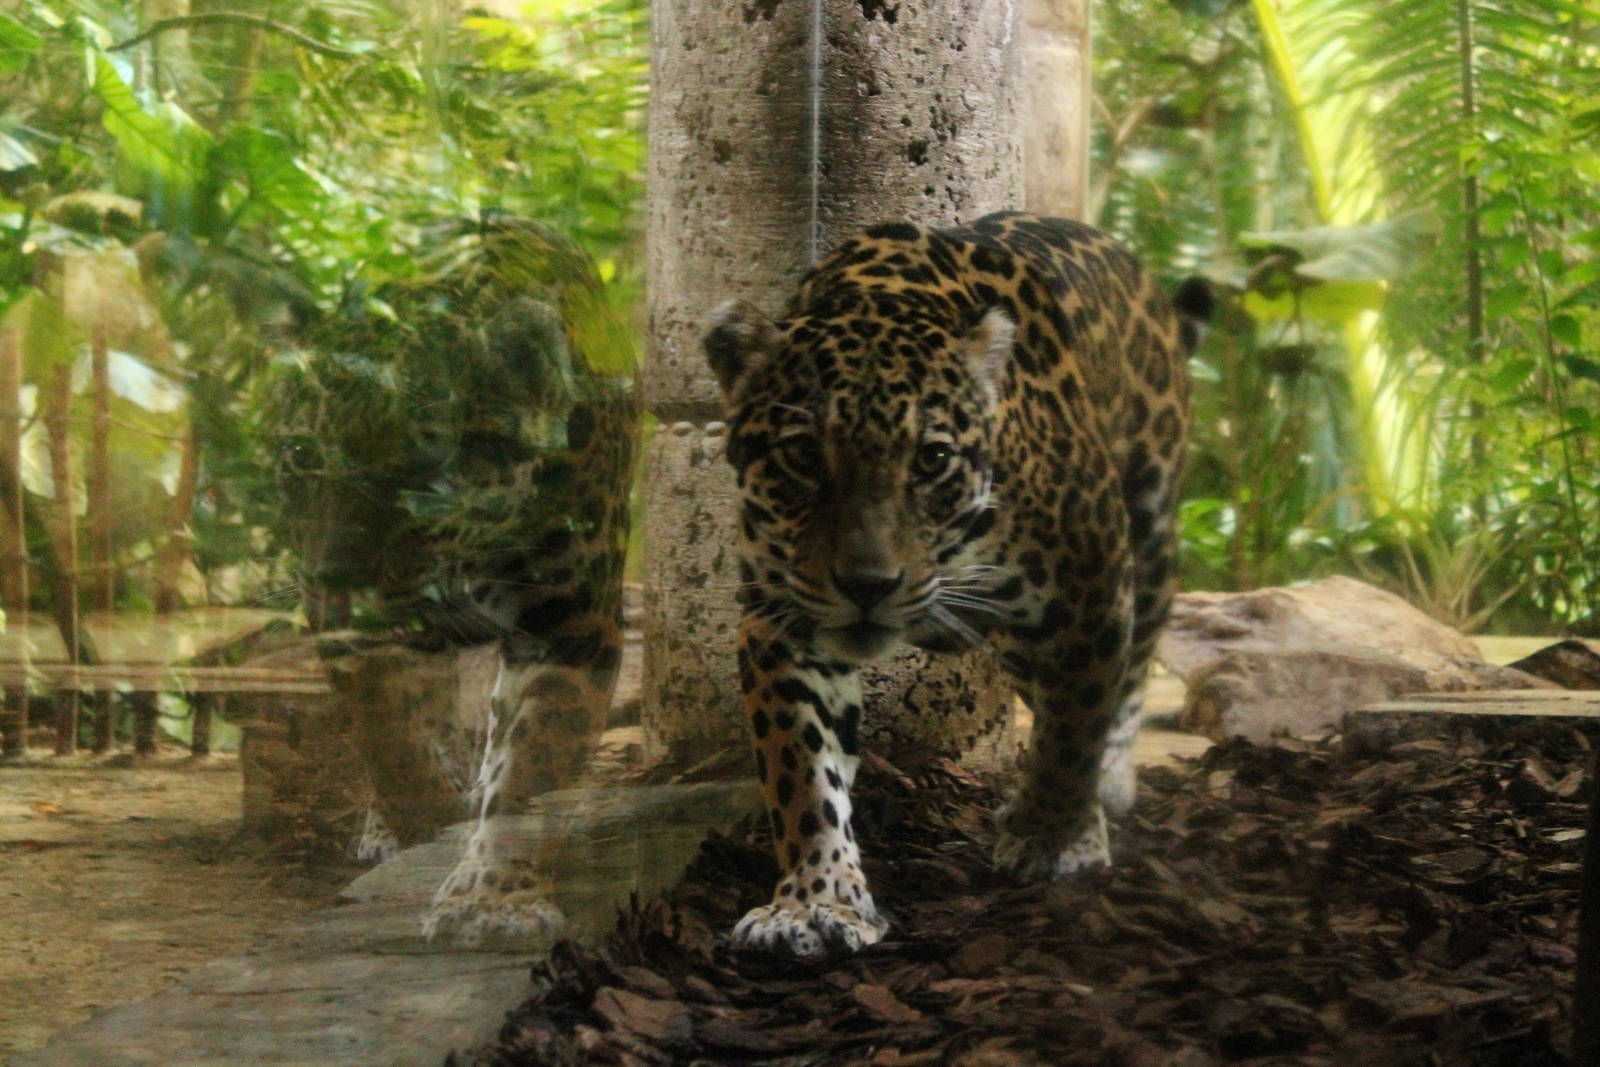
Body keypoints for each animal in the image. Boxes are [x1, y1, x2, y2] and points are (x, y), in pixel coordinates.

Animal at [703, 211, 1210, 958]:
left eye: (931, 459)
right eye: (802, 455)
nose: (868, 584)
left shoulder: (1089, 582)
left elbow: (1075, 725)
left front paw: (1055, 839)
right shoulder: (781, 619)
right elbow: (803, 770)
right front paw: (815, 899)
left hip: (1148, 526)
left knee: (1132, 666)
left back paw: (1107, 785)